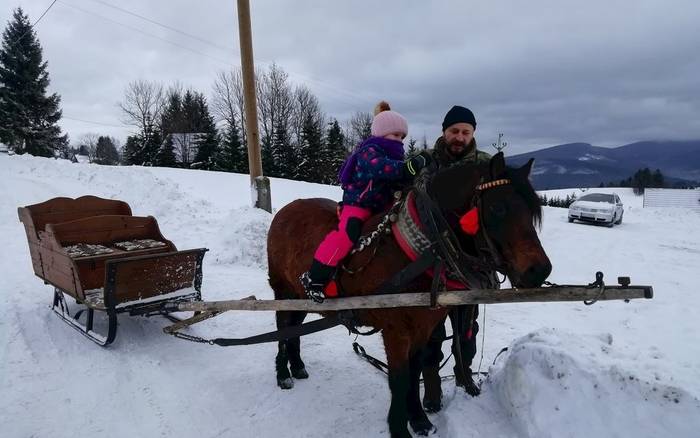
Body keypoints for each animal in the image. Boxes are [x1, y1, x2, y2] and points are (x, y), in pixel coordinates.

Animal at [268, 152, 552, 436]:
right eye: (497, 208)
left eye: (532, 212)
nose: (539, 270)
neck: (421, 250)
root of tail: (284, 211)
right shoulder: (396, 330)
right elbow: (400, 379)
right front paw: (399, 427)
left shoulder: (423, 326)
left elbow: (416, 369)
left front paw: (419, 419)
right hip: (283, 291)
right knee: (282, 329)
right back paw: (283, 374)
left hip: (298, 297)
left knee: (293, 329)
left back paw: (298, 366)